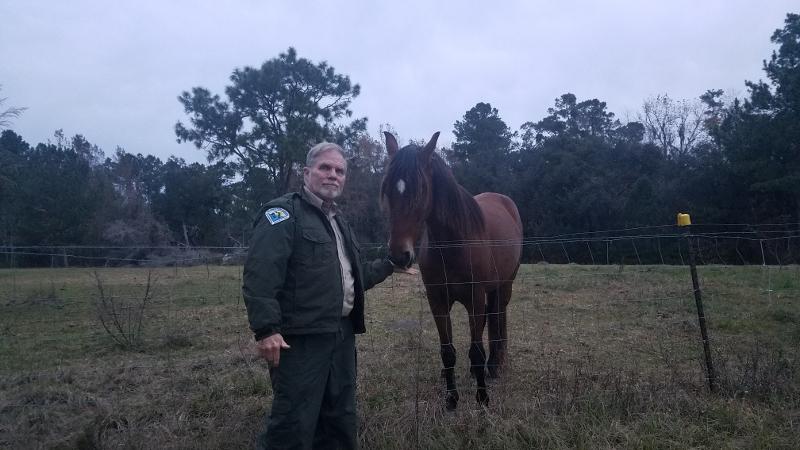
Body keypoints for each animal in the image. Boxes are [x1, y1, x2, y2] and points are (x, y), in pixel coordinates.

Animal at [381, 131, 523, 409]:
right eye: (388, 189)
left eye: (421, 190)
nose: (398, 256)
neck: (454, 245)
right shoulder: (438, 301)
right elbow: (447, 351)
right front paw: (451, 399)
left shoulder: (474, 298)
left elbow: (476, 349)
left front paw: (482, 398)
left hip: (505, 285)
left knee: (498, 315)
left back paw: (496, 364)